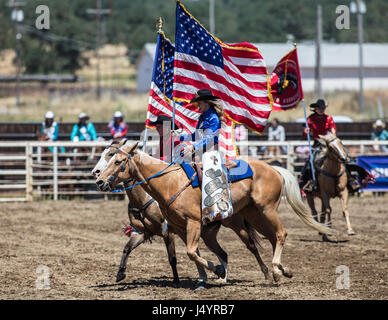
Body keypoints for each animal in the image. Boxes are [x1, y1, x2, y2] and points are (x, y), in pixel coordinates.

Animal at [95, 142, 332, 284]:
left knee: (281, 234)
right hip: (253, 216)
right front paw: (204, 279)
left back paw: (274, 270)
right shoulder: (178, 228)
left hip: (267, 209)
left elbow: (190, 253)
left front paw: (215, 271)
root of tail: (274, 168)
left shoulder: (188, 225)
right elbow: (192, 254)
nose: (98, 179)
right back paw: (281, 271)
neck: (169, 183)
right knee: (271, 238)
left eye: (117, 160)